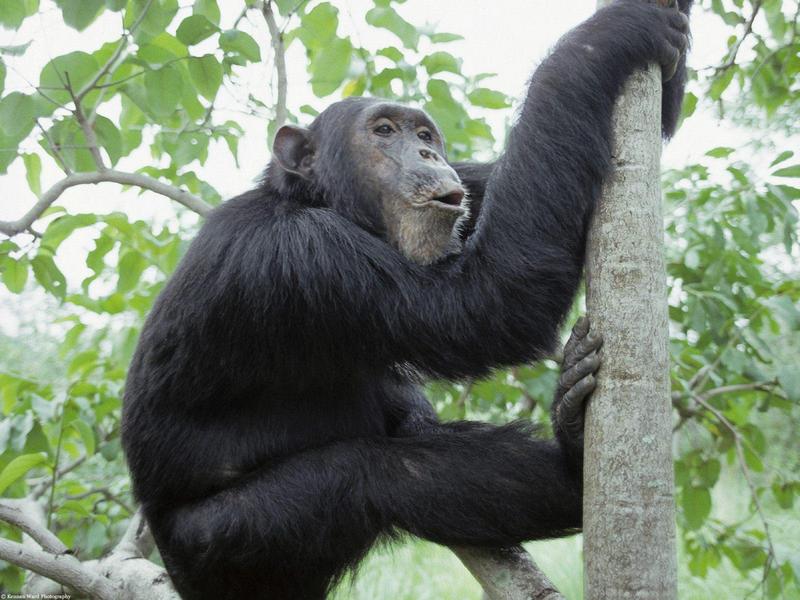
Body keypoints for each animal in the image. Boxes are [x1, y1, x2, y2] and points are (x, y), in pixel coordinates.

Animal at [122, 2, 692, 596]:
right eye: (383, 130)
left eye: (425, 133)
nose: (425, 152)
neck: (313, 200)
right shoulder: (303, 254)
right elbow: (486, 302)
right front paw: (606, 37)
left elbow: (513, 172)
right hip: (226, 543)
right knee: (385, 472)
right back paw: (577, 455)